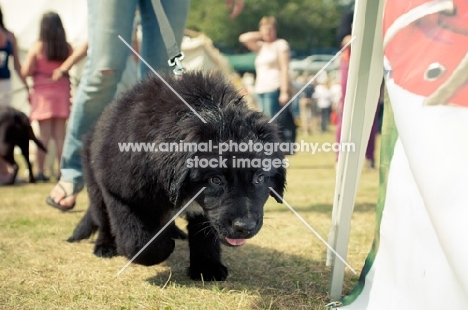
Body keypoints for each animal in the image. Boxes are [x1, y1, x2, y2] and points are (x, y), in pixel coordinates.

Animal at [66, 71, 286, 280]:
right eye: (216, 180)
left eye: (260, 178)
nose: (245, 227)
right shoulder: (120, 195)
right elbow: (135, 239)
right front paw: (161, 247)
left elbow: (204, 237)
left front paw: (207, 268)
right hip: (95, 185)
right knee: (103, 219)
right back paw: (105, 246)